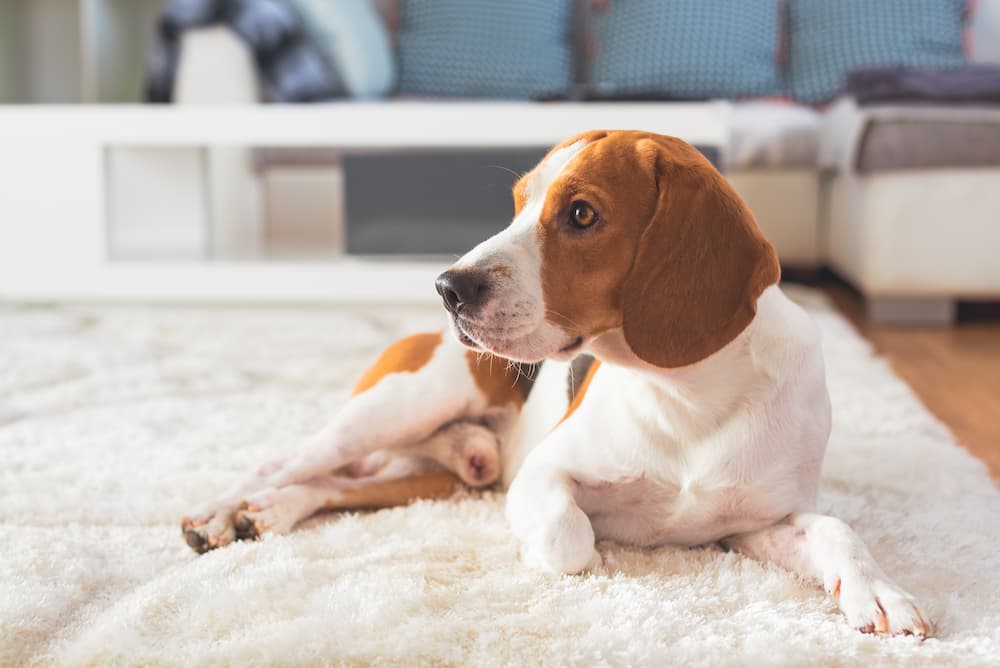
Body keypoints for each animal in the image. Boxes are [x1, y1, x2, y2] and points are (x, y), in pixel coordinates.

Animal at [182, 130, 928, 636]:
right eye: (516, 206)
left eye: (581, 214)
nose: (448, 289)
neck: (688, 395)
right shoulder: (542, 476)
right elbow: (572, 541)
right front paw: (597, 555)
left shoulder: (754, 523)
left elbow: (836, 530)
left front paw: (878, 591)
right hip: (398, 408)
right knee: (282, 463)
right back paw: (221, 511)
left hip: (434, 478)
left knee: (334, 486)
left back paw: (273, 511)